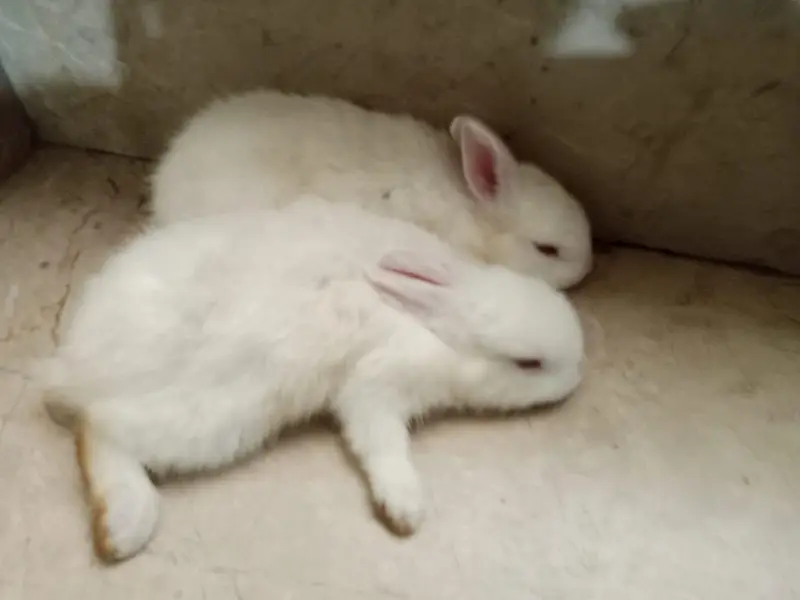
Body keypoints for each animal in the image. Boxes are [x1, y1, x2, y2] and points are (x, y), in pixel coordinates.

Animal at [38, 197, 585, 563]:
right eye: (528, 364)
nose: (579, 372)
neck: (436, 323)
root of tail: (75, 362)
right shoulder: (378, 381)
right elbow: (380, 442)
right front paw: (405, 508)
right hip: (215, 411)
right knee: (100, 427)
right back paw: (122, 529)